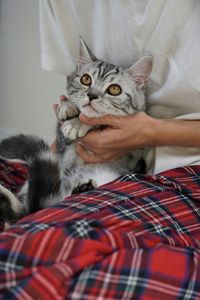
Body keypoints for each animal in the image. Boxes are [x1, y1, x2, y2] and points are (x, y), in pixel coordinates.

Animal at [0, 37, 152, 224]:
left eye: (114, 89)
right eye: (86, 79)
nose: (92, 95)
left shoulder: (137, 149)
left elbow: (102, 120)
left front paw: (78, 124)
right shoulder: (62, 151)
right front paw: (67, 106)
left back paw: (82, 188)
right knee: (24, 210)